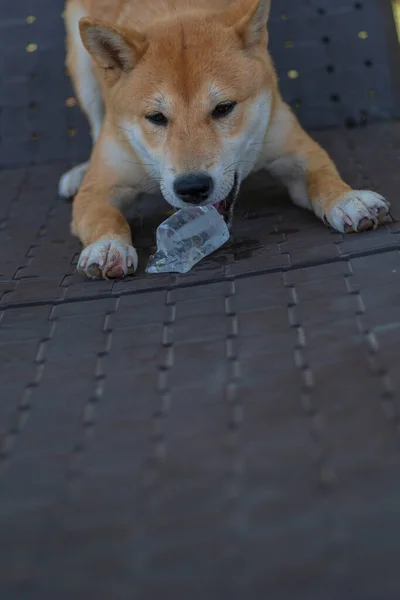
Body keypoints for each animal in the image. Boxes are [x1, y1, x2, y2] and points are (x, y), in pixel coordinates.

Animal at [61, 0, 390, 280]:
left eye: (223, 108)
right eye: (156, 117)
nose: (192, 187)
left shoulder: (294, 149)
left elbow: (322, 178)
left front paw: (347, 199)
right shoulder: (100, 186)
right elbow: (104, 216)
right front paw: (107, 246)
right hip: (83, 69)